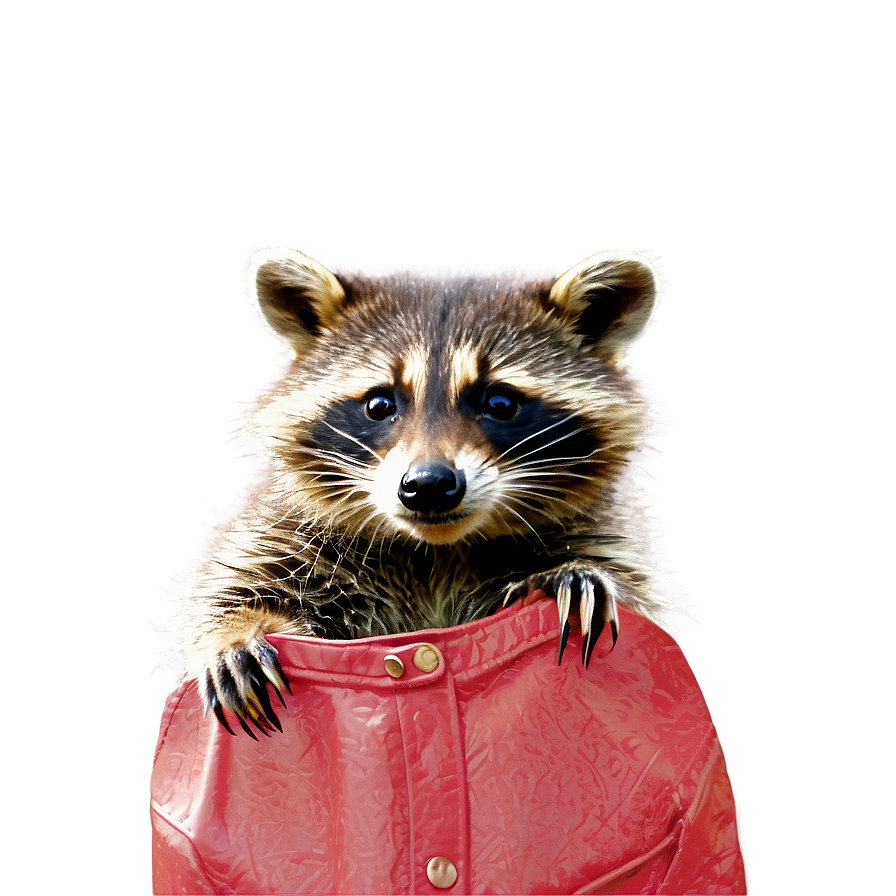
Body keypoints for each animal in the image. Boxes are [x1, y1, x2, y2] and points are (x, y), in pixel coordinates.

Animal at [171, 247, 677, 738]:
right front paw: (237, 628)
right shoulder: (283, 530)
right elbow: (233, 587)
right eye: (379, 404)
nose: (429, 485)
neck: (437, 552)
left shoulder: (605, 532)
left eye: (500, 403)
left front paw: (564, 573)